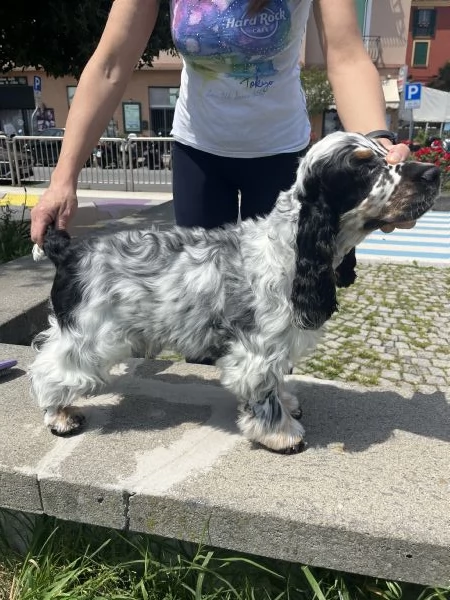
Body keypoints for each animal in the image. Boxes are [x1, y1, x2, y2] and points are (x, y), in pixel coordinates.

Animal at [29, 130, 440, 450]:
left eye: (386, 154)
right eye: (365, 167)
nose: (434, 172)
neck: (289, 248)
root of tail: (70, 250)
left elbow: (278, 383)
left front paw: (288, 403)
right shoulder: (257, 348)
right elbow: (264, 392)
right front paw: (282, 434)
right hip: (89, 335)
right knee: (51, 369)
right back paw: (60, 416)